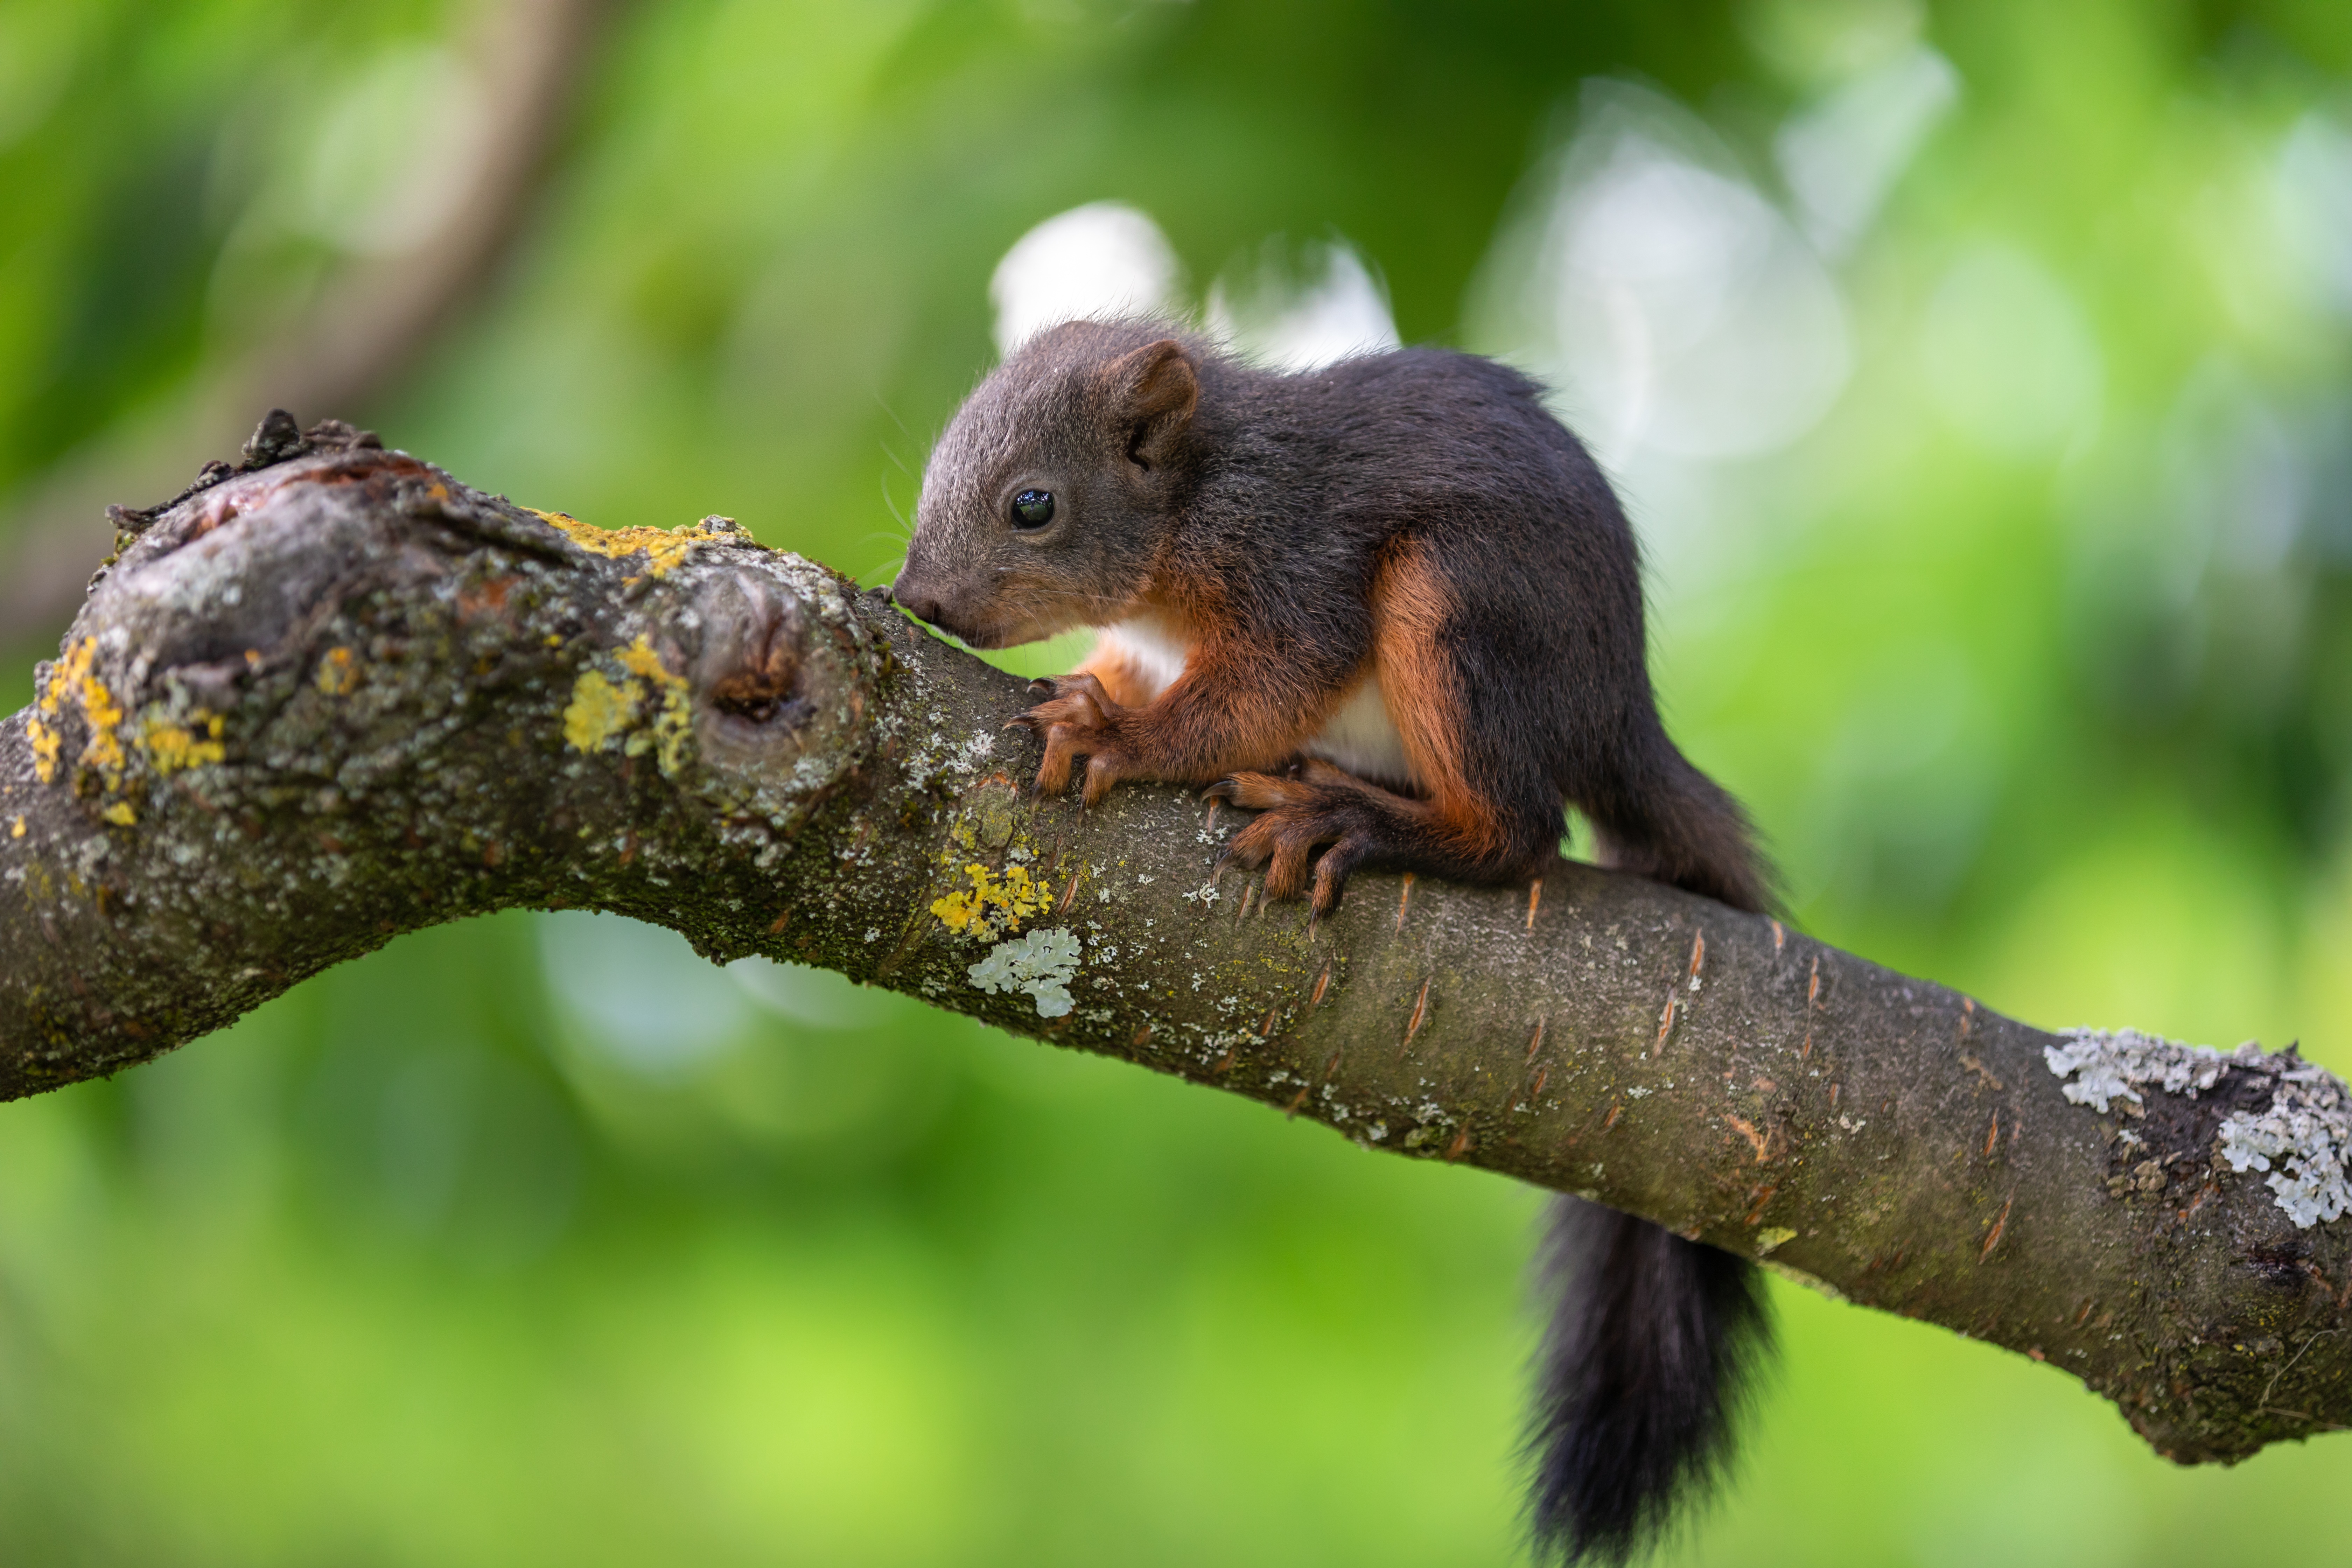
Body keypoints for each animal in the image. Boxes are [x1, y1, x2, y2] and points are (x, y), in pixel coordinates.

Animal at [889, 322, 1769, 1568]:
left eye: (1032, 504)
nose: (911, 596)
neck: (1196, 499)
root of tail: (1616, 719)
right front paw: (1091, 689)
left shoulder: (1293, 565)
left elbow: (1260, 689)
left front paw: (1122, 734)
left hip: (1458, 600)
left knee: (1515, 834)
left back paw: (1352, 818)